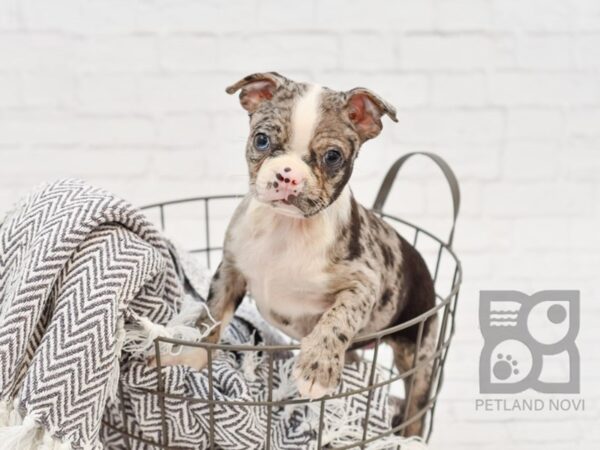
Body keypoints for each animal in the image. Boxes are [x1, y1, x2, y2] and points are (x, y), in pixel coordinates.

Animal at [162, 74, 438, 436]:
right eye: (262, 140)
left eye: (332, 156)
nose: (287, 174)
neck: (287, 226)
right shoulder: (231, 270)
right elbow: (213, 316)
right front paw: (191, 359)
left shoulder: (363, 284)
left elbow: (338, 319)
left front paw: (318, 368)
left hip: (419, 350)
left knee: (416, 404)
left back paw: (409, 435)